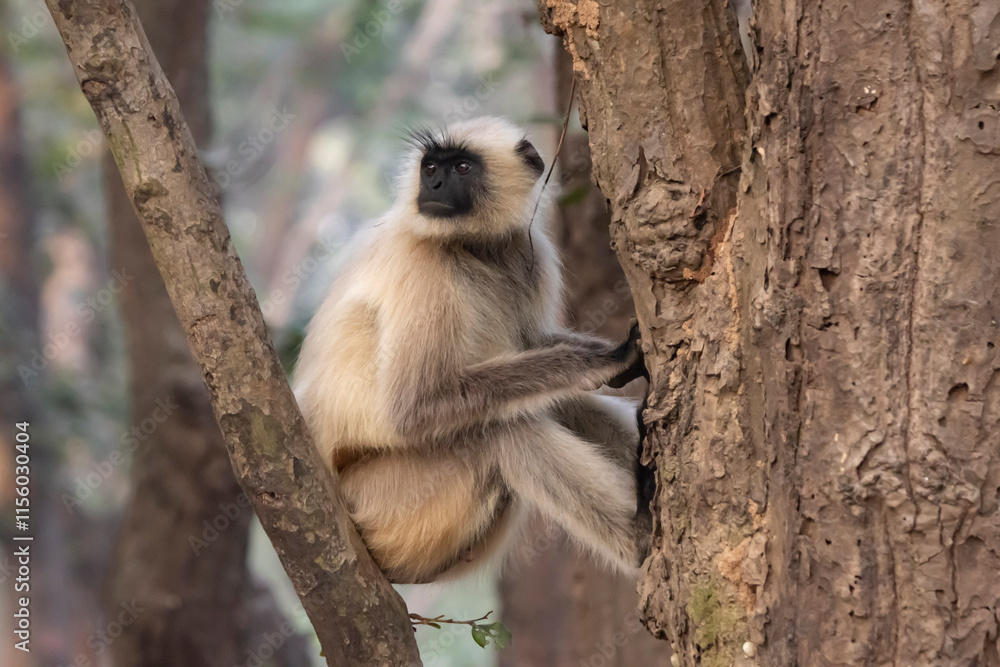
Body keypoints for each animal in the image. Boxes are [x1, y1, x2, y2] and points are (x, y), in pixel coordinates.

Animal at [293, 116, 648, 585]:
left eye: (461, 167)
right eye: (430, 167)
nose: (435, 184)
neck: (470, 247)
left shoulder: (526, 251)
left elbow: (531, 343)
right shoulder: (422, 266)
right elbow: (415, 407)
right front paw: (610, 359)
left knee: (549, 403)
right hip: (384, 505)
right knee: (502, 434)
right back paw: (643, 540)